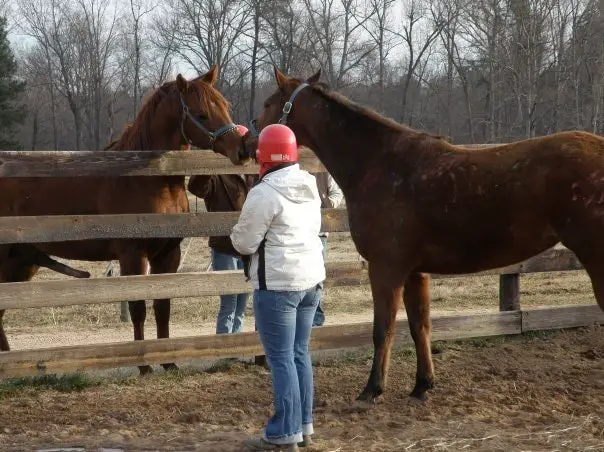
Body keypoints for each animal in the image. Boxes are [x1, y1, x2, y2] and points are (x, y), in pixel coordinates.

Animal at [0, 66, 249, 370]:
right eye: (201, 114)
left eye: (224, 106)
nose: (241, 148)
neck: (149, 180)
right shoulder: (133, 256)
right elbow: (137, 307)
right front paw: (143, 365)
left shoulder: (168, 255)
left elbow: (163, 306)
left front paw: (168, 362)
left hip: (21, 263)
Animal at [247, 66, 604, 402]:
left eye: (268, 103)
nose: (248, 143)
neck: (379, 163)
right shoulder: (414, 271)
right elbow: (420, 327)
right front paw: (422, 385)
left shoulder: (386, 268)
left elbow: (383, 329)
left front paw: (372, 389)